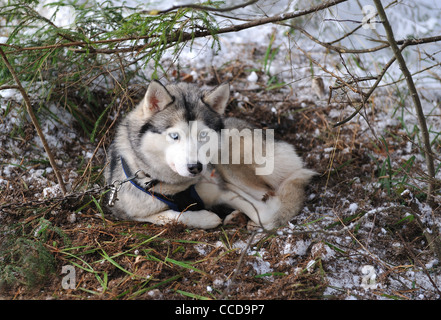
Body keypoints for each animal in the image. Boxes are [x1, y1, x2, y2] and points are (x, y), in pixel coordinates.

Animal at [104, 80, 314, 230]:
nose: (195, 167)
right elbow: (167, 216)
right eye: (175, 136)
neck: (175, 187)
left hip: (229, 161)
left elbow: (265, 213)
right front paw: (206, 217)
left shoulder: (221, 189)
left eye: (203, 135)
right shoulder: (130, 213)